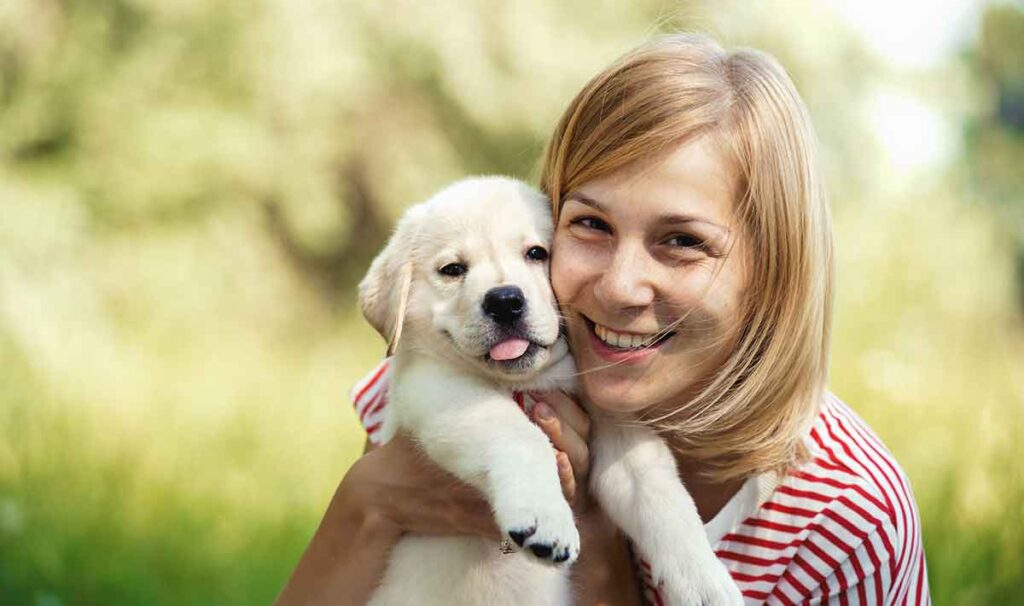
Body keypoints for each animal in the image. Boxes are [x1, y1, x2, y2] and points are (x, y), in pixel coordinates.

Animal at [356, 177, 741, 601]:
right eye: (452, 270)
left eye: (536, 253)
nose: (504, 301)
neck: (529, 381)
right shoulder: (438, 388)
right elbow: (519, 434)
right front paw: (544, 519)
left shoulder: (616, 425)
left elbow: (660, 492)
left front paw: (706, 580)